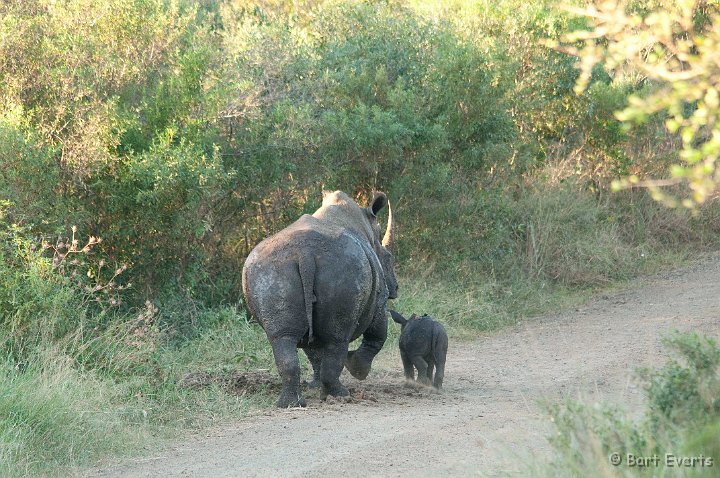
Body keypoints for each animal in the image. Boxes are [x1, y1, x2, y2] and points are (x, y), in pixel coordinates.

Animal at [242, 190, 400, 408]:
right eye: (388, 257)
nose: (396, 288)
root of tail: (304, 253)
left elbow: (314, 352)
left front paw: (315, 386)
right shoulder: (380, 301)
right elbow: (378, 335)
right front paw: (358, 370)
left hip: (270, 271)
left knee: (282, 337)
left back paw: (290, 404)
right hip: (344, 269)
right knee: (338, 338)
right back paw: (341, 395)